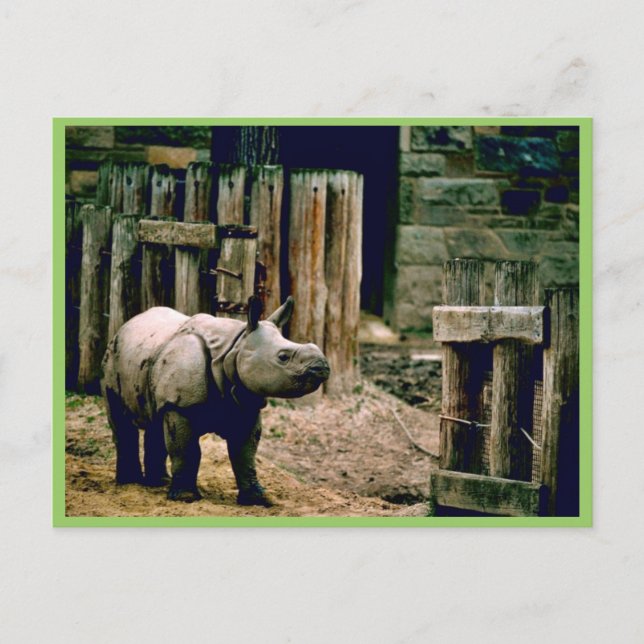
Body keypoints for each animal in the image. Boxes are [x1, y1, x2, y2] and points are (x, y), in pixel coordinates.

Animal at [101, 296, 329, 505]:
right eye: (283, 357)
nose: (322, 366)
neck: (235, 347)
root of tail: (126, 325)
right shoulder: (180, 405)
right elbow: (187, 451)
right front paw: (186, 498)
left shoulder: (245, 401)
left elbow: (245, 453)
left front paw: (258, 499)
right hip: (112, 357)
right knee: (122, 422)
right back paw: (129, 484)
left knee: (156, 421)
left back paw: (159, 483)